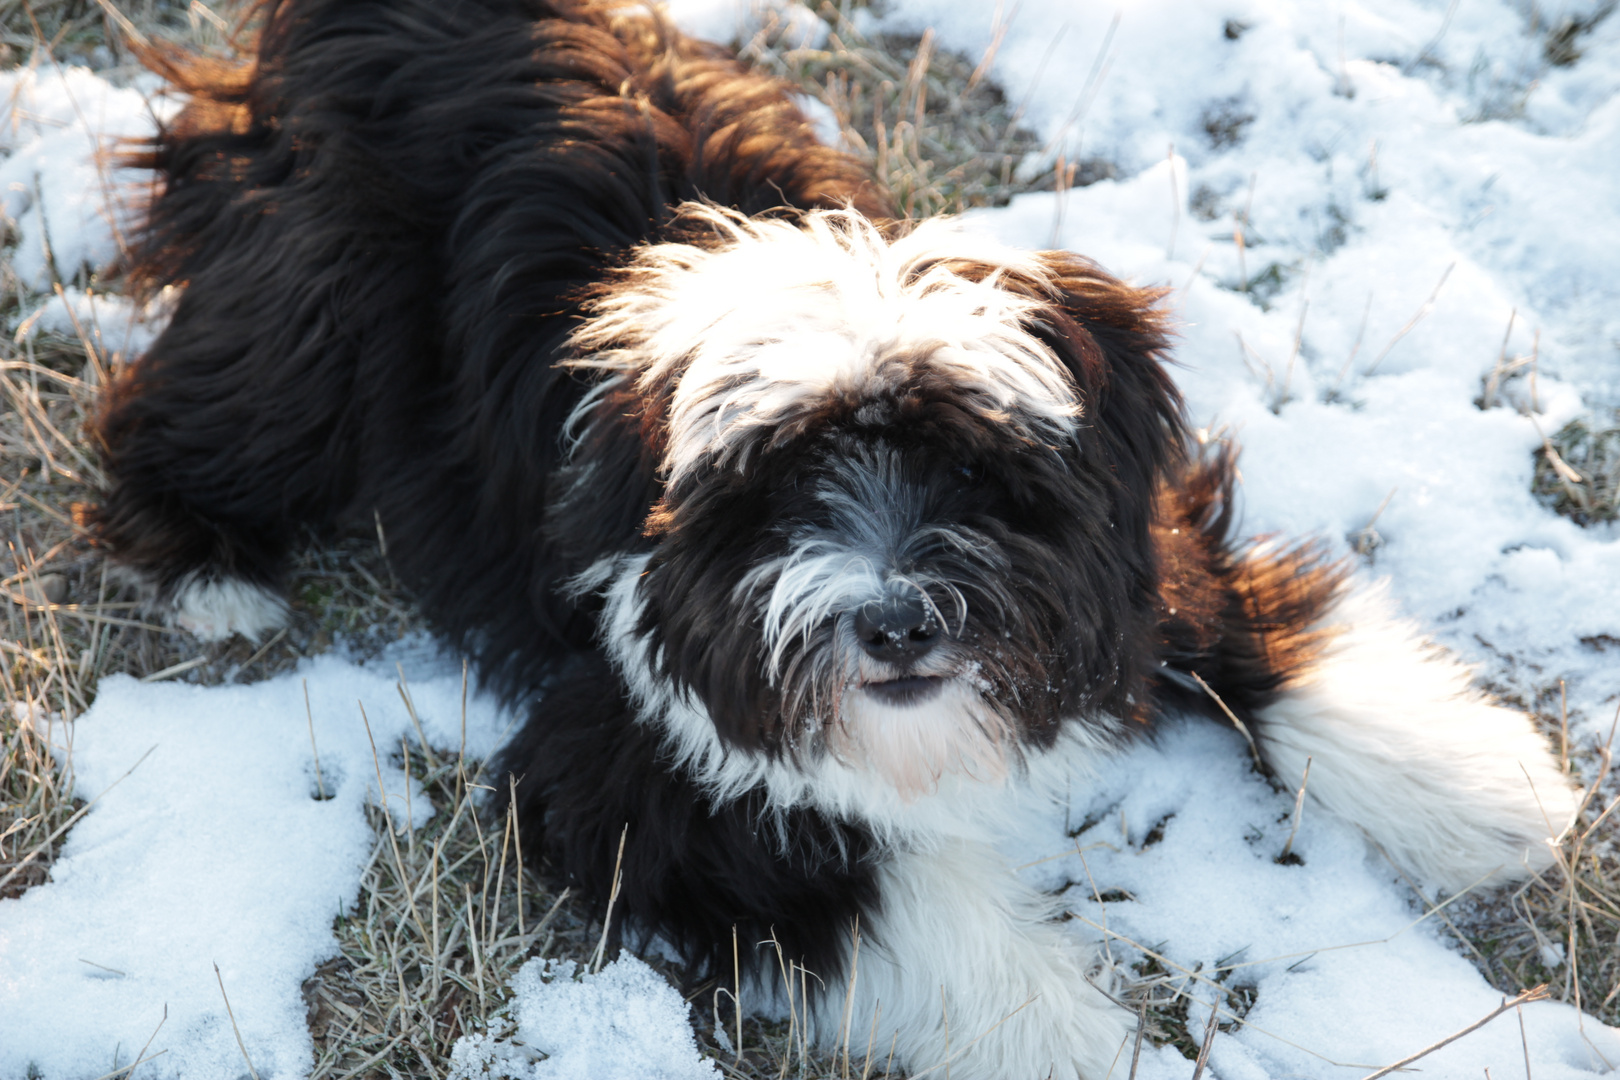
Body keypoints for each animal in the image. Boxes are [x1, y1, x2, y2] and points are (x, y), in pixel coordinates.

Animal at [94, 4, 1574, 1075]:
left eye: (973, 471)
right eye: (774, 492)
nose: (899, 622)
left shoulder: (1123, 546)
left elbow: (1241, 624)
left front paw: (1473, 784)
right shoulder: (633, 755)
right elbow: (886, 896)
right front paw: (1079, 1045)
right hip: (315, 307)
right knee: (202, 401)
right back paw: (211, 571)